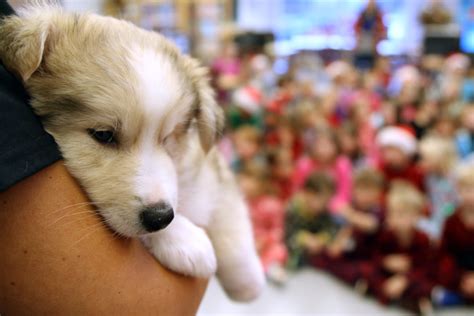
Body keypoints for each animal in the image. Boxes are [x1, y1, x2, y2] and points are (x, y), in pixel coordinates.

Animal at [0, 4, 262, 302]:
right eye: (103, 135)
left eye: (168, 138)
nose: (161, 217)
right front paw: (184, 239)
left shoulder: (208, 165)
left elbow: (230, 216)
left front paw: (247, 282)